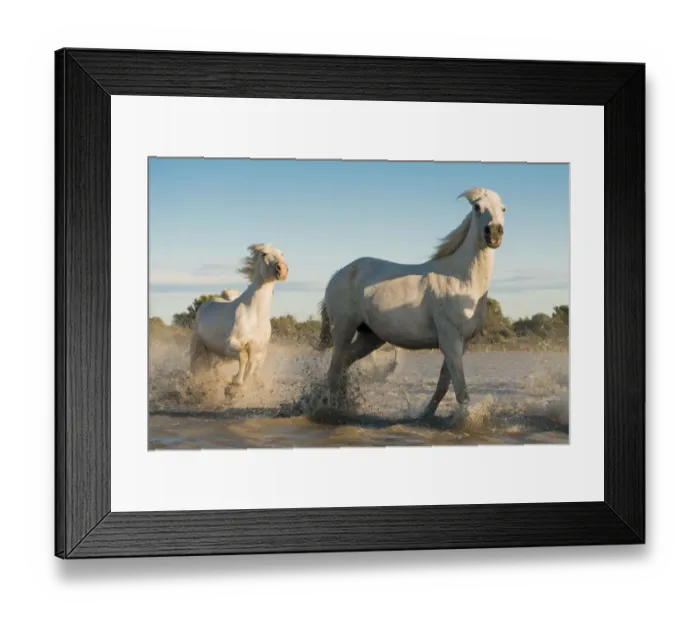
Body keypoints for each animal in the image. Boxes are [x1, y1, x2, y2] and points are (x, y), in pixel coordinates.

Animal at [190, 244, 288, 392]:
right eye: (264, 254)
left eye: (282, 254)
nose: (282, 269)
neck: (254, 315)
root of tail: (207, 303)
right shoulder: (229, 344)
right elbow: (243, 357)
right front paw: (235, 381)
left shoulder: (258, 350)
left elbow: (251, 366)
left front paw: (237, 387)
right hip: (198, 345)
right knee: (192, 365)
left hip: (217, 355)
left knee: (213, 367)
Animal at [317, 187, 506, 421]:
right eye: (477, 207)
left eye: (503, 208)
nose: (494, 233)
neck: (461, 279)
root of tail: (338, 275)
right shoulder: (450, 340)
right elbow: (461, 391)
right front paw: (465, 420)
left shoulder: (462, 344)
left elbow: (443, 386)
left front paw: (425, 416)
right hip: (343, 329)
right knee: (334, 371)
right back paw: (331, 409)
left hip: (370, 337)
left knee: (344, 363)